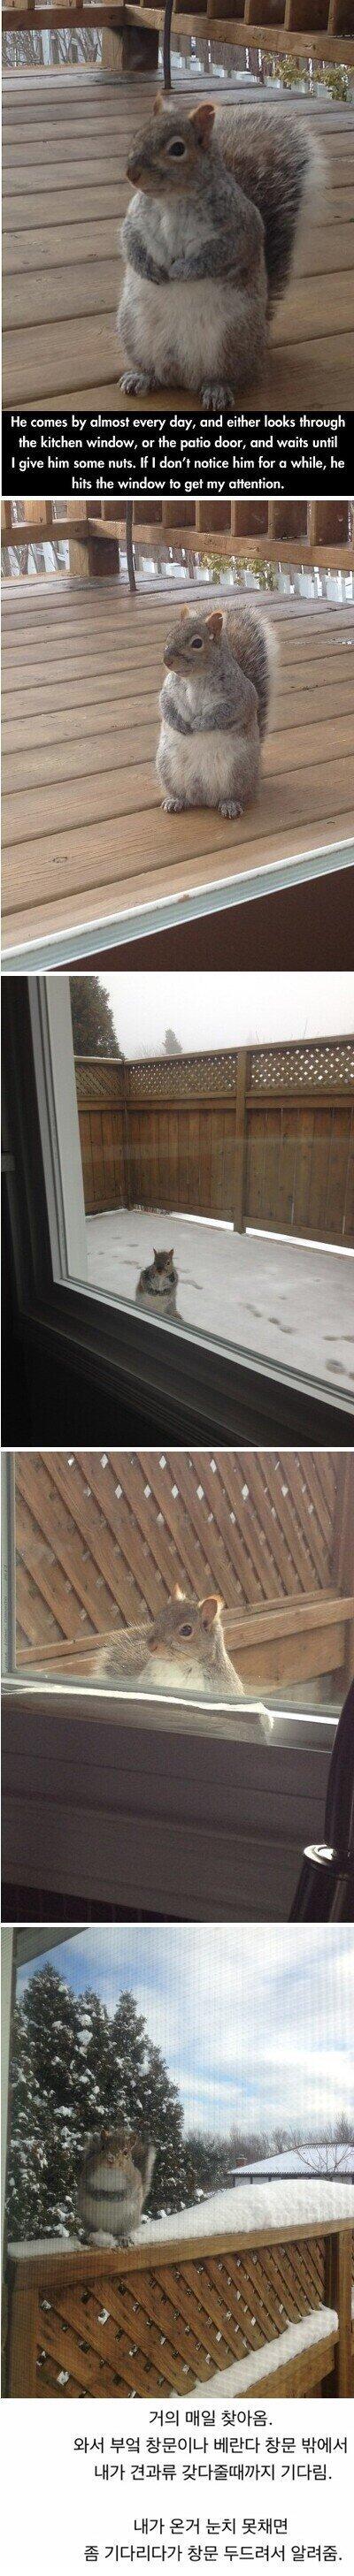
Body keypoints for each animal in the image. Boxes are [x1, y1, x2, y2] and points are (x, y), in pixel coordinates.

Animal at [76, 2126, 156, 2248]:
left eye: (126, 2152)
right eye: (103, 2147)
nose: (110, 2158)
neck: (110, 2172)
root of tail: (108, 2231)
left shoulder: (133, 2181)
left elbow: (126, 2193)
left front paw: (112, 2197)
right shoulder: (86, 2175)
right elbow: (88, 2188)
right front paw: (98, 2195)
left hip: (128, 2219)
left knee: (123, 2232)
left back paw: (123, 2238)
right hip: (88, 2218)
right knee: (91, 2230)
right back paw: (88, 2237)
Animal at [118, 94, 323, 408]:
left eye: (177, 148)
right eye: (137, 135)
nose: (132, 174)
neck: (172, 201)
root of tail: (183, 376)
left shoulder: (239, 228)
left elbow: (219, 255)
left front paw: (182, 270)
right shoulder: (135, 220)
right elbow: (130, 242)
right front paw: (149, 269)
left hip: (230, 340)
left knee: (227, 375)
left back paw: (217, 389)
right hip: (133, 331)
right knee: (153, 370)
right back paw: (141, 376)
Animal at [156, 602, 279, 817]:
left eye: (197, 643)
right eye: (170, 634)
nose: (167, 661)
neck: (195, 679)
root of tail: (204, 799)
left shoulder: (238, 698)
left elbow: (223, 714)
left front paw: (200, 723)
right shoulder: (168, 692)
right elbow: (166, 705)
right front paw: (179, 724)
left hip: (238, 771)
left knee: (236, 795)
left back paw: (230, 804)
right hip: (167, 768)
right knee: (181, 794)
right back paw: (174, 800)